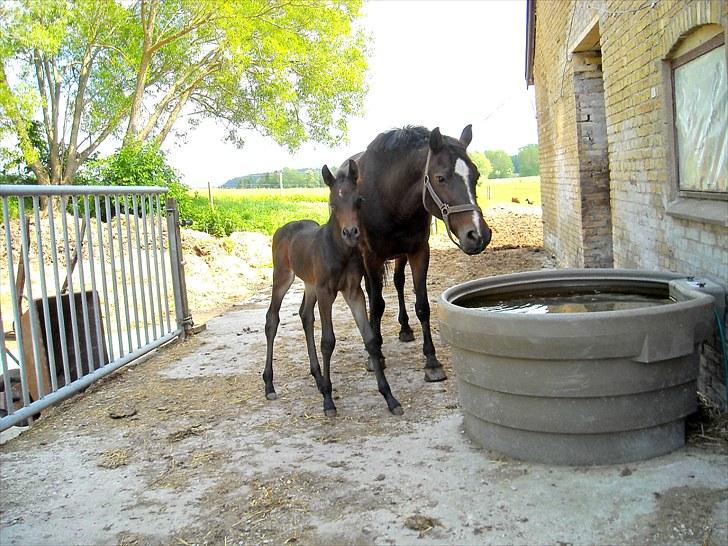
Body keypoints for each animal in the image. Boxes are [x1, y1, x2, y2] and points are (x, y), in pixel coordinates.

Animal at [264, 159, 404, 414]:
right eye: (332, 204)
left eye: (359, 201)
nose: (350, 233)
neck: (340, 252)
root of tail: (283, 229)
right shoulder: (326, 293)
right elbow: (328, 342)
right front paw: (328, 402)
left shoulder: (353, 292)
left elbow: (370, 339)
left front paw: (390, 397)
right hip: (282, 277)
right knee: (272, 319)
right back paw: (269, 385)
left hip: (310, 284)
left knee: (305, 316)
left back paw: (319, 380)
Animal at [344, 125, 492, 380]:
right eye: (440, 178)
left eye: (476, 176)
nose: (478, 235)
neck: (388, 195)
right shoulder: (371, 256)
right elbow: (376, 304)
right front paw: (376, 356)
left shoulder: (419, 252)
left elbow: (422, 305)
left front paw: (431, 361)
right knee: (371, 295)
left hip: (400, 256)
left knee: (398, 283)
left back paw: (404, 328)